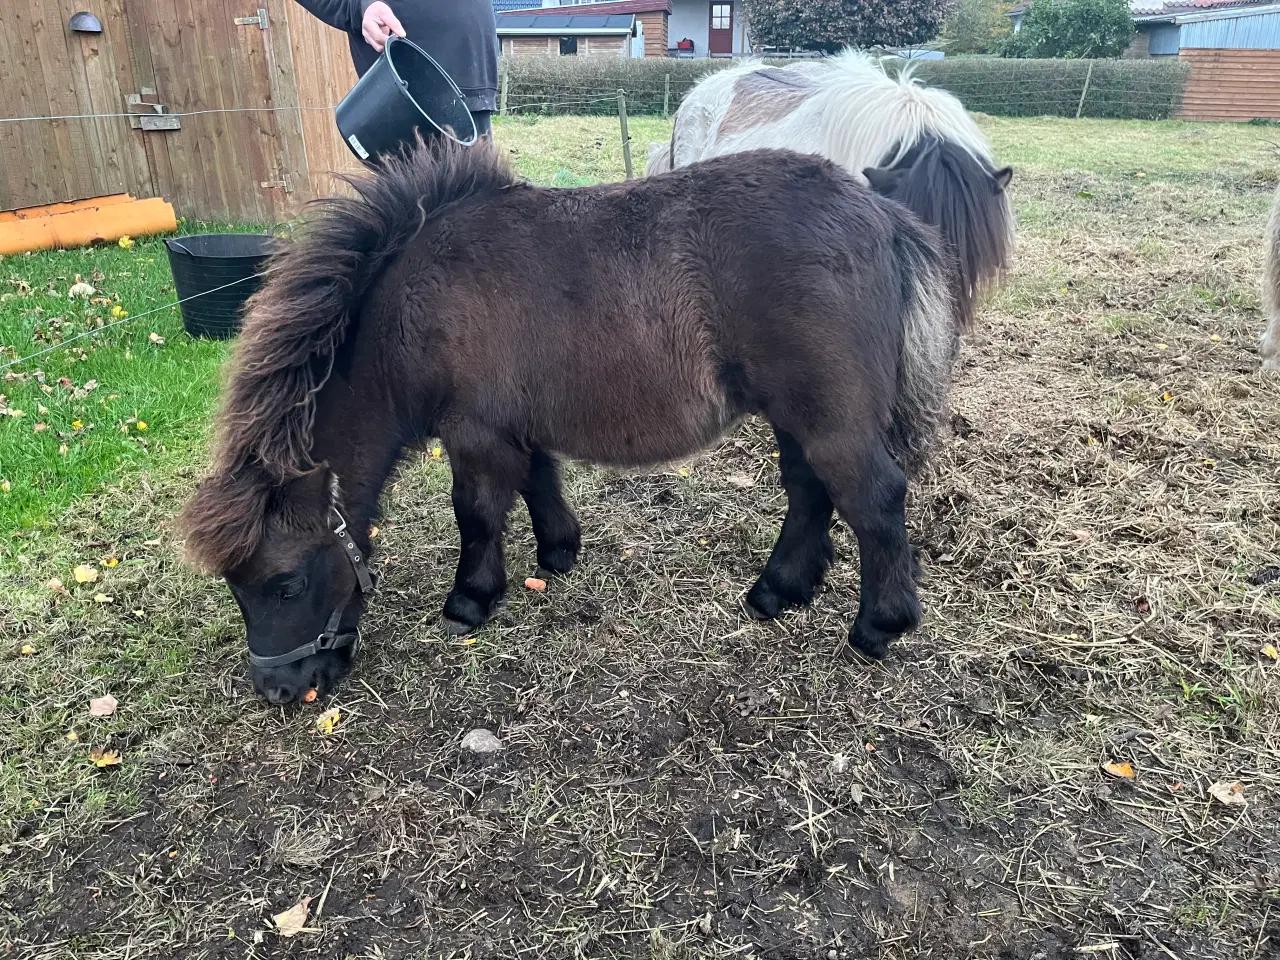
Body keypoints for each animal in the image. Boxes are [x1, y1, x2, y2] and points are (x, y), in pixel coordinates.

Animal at [180, 136, 962, 706]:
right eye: (235, 590)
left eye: (285, 584)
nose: (278, 690)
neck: (412, 306)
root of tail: (881, 214)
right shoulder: (513, 425)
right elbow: (538, 481)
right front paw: (558, 552)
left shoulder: (473, 432)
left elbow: (477, 512)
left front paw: (470, 598)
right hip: (796, 414)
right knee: (809, 492)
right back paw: (778, 590)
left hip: (829, 416)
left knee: (873, 498)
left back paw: (877, 625)